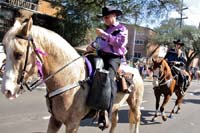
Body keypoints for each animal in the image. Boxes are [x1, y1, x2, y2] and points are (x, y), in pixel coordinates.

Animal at [0, 10, 144, 133]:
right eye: (5, 51)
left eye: (19, 54)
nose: (7, 91)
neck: (70, 79)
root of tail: (135, 70)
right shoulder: (55, 120)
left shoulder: (72, 124)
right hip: (116, 107)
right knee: (115, 122)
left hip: (135, 103)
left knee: (136, 118)